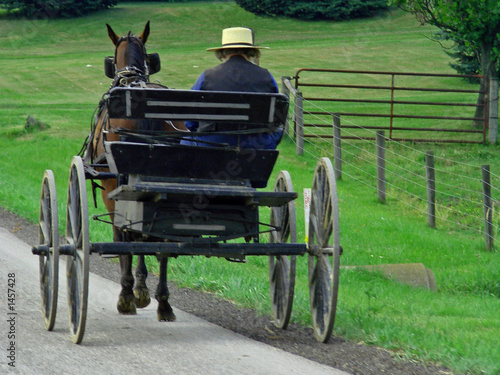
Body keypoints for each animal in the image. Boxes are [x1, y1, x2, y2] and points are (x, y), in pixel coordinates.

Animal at [86, 20, 188, 322]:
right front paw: (143, 289)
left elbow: (127, 238)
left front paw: (134, 291)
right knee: (161, 240)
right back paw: (164, 303)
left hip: (113, 188)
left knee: (125, 235)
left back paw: (126, 296)